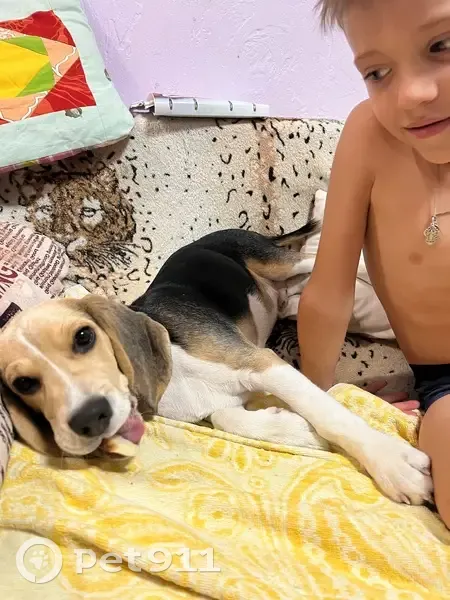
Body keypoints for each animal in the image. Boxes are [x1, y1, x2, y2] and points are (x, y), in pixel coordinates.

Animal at [0, 221, 432, 505]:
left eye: (84, 337)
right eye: (24, 384)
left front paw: (392, 464)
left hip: (275, 261)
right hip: (283, 294)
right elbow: (230, 418)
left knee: (316, 258)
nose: (89, 418)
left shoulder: (262, 361)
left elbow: (331, 416)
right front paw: (297, 429)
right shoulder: (230, 395)